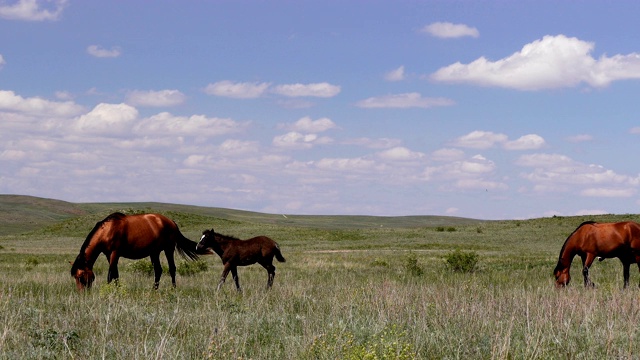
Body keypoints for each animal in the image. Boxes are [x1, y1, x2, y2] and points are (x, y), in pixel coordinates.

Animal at [69, 212, 200, 292]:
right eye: (75, 277)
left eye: (80, 277)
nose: (82, 294)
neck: (107, 231)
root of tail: (172, 222)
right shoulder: (108, 255)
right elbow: (115, 274)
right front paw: (118, 290)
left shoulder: (115, 253)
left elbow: (110, 274)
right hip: (154, 252)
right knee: (158, 270)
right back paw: (154, 290)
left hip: (169, 249)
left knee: (172, 268)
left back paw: (173, 289)